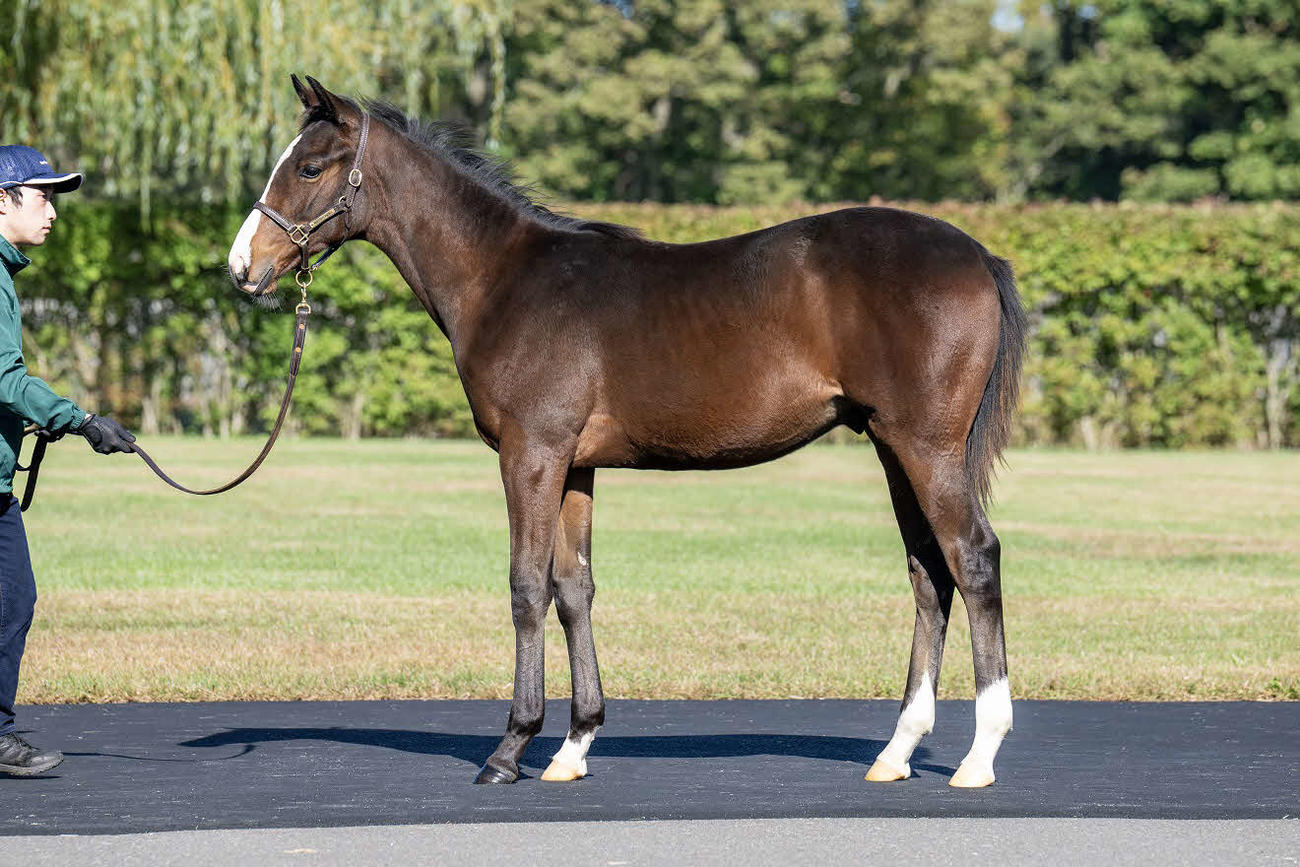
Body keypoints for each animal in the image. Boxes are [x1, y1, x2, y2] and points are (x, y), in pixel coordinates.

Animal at [227, 76, 1027, 789]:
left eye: (308, 166)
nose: (242, 267)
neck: (505, 279)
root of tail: (978, 256)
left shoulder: (531, 454)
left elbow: (526, 585)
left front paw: (510, 748)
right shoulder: (575, 466)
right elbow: (573, 587)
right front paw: (573, 745)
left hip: (925, 448)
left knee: (973, 558)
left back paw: (980, 756)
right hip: (894, 448)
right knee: (929, 574)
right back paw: (896, 751)